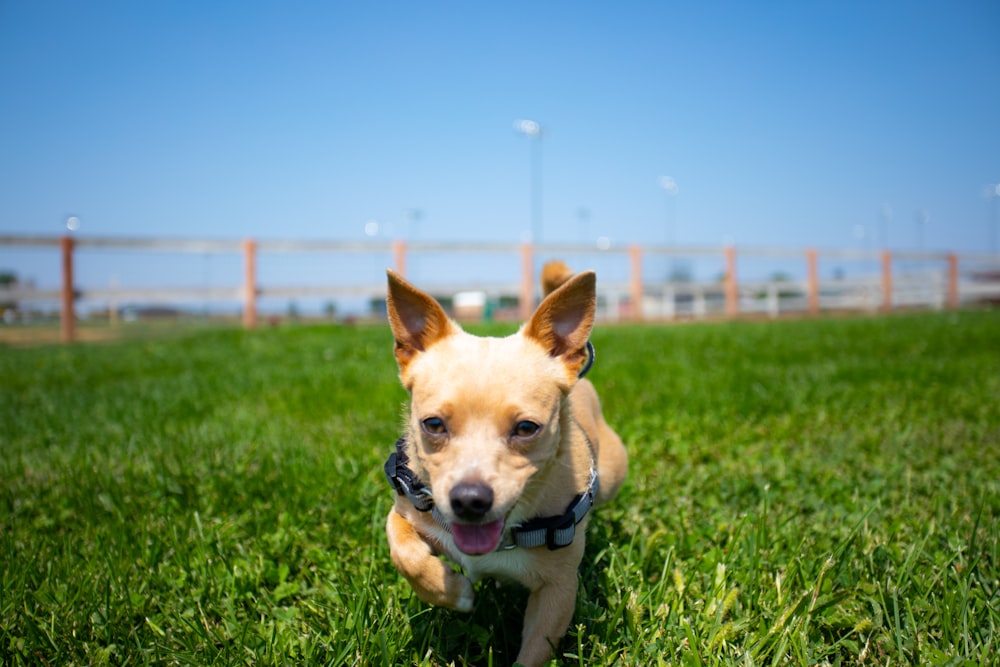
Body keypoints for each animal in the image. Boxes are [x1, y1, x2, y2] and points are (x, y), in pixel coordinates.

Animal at [380, 262, 624, 667]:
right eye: (433, 424)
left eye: (526, 428)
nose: (469, 499)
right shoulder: (409, 506)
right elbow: (402, 548)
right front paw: (453, 590)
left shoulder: (558, 591)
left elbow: (535, 651)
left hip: (613, 474)